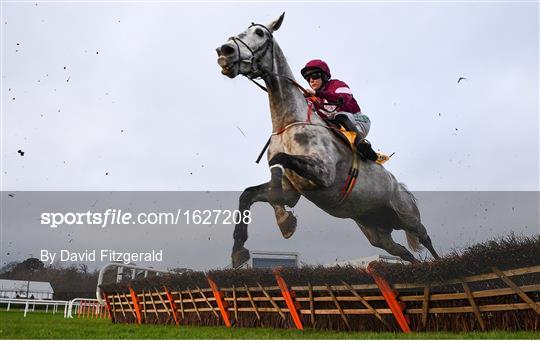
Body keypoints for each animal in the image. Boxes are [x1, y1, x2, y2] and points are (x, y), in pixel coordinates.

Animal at [215, 13, 438, 268]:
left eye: (260, 33)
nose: (225, 51)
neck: (288, 122)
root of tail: (399, 185)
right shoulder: (291, 189)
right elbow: (248, 194)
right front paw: (239, 250)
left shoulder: (323, 172)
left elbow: (279, 161)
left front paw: (284, 221)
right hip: (375, 232)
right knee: (403, 251)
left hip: (406, 215)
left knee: (425, 237)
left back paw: (440, 262)